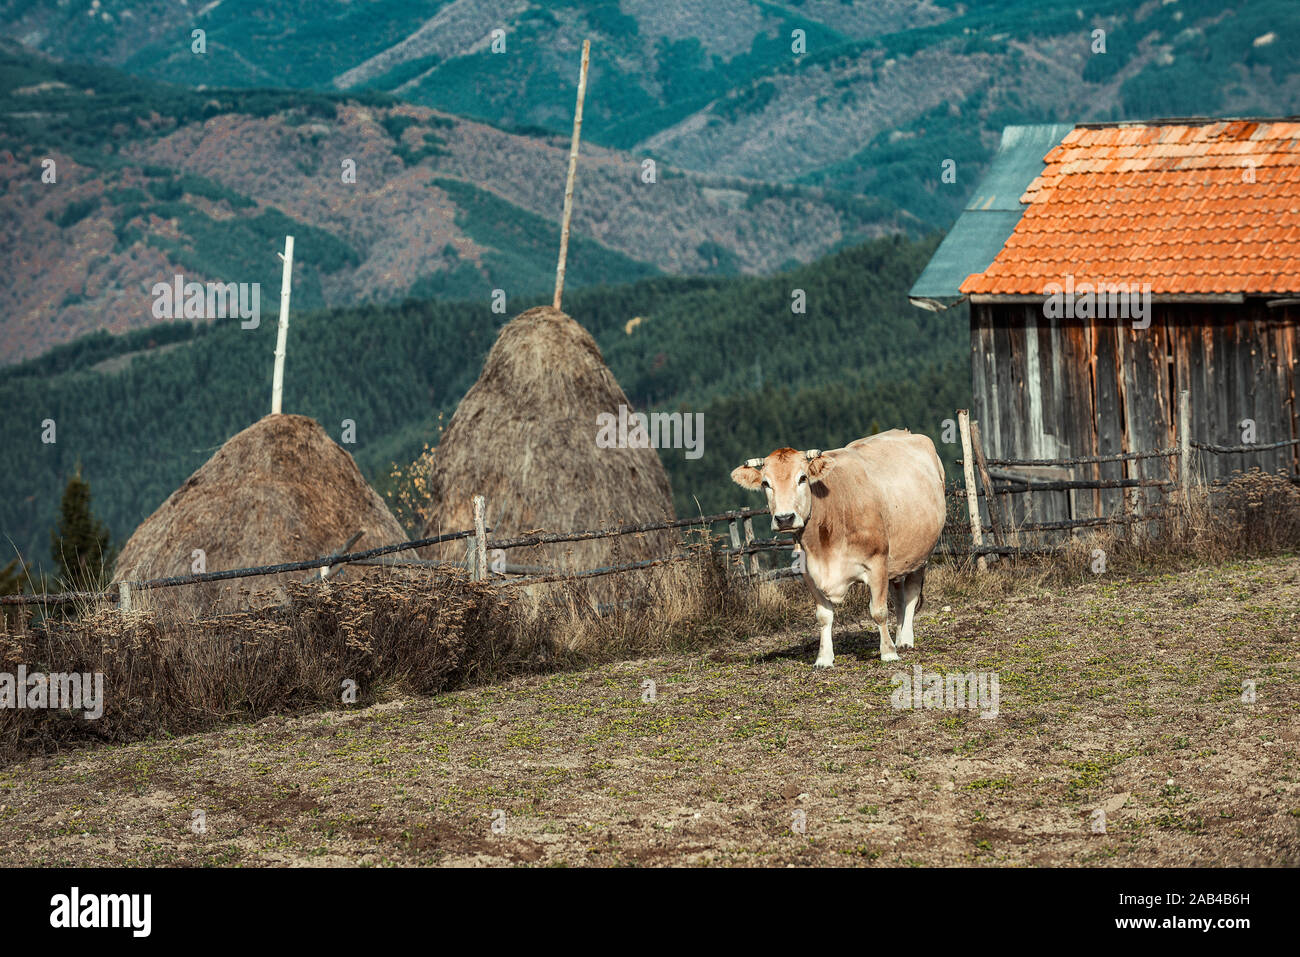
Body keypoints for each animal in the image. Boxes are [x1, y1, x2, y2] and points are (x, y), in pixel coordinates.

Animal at [733, 429, 946, 665]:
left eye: (802, 478)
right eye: (765, 483)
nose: (785, 518)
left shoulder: (877, 562)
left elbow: (879, 611)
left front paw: (888, 652)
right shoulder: (809, 572)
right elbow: (824, 616)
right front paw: (824, 658)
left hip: (920, 555)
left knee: (910, 594)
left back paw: (905, 640)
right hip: (897, 561)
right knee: (898, 596)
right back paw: (899, 637)